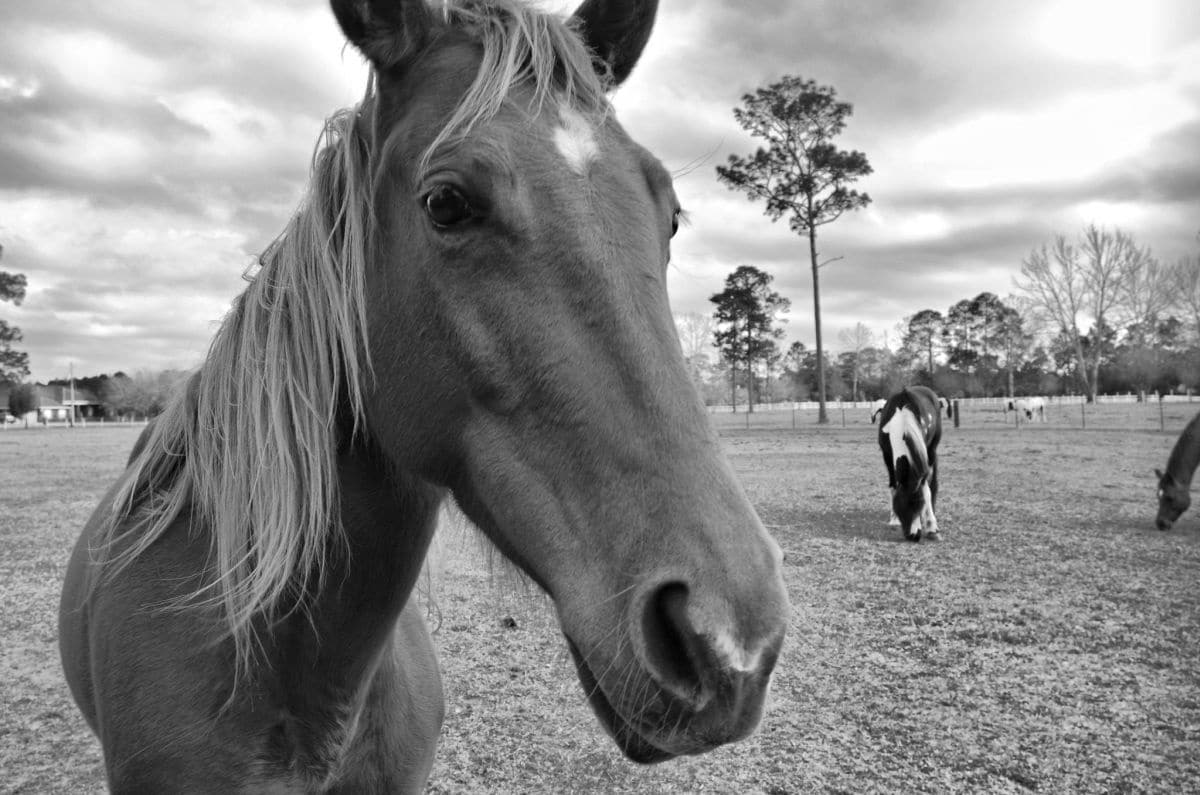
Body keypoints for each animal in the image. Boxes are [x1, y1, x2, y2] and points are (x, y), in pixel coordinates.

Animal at [877, 386, 943, 541]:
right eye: (901, 505)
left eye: (919, 506)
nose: (913, 535)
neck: (902, 420)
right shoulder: (886, 455)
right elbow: (893, 485)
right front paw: (894, 519)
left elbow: (926, 489)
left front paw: (932, 527)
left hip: (932, 450)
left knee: (932, 483)